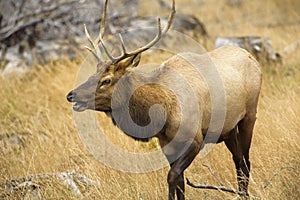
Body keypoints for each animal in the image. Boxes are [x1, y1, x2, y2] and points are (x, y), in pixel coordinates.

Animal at [65, 0, 260, 199]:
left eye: (106, 80)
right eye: (93, 73)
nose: (71, 95)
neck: (162, 113)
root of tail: (251, 57)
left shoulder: (195, 139)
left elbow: (172, 176)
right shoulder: (166, 142)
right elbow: (180, 181)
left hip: (249, 116)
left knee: (245, 161)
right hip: (229, 128)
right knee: (238, 160)